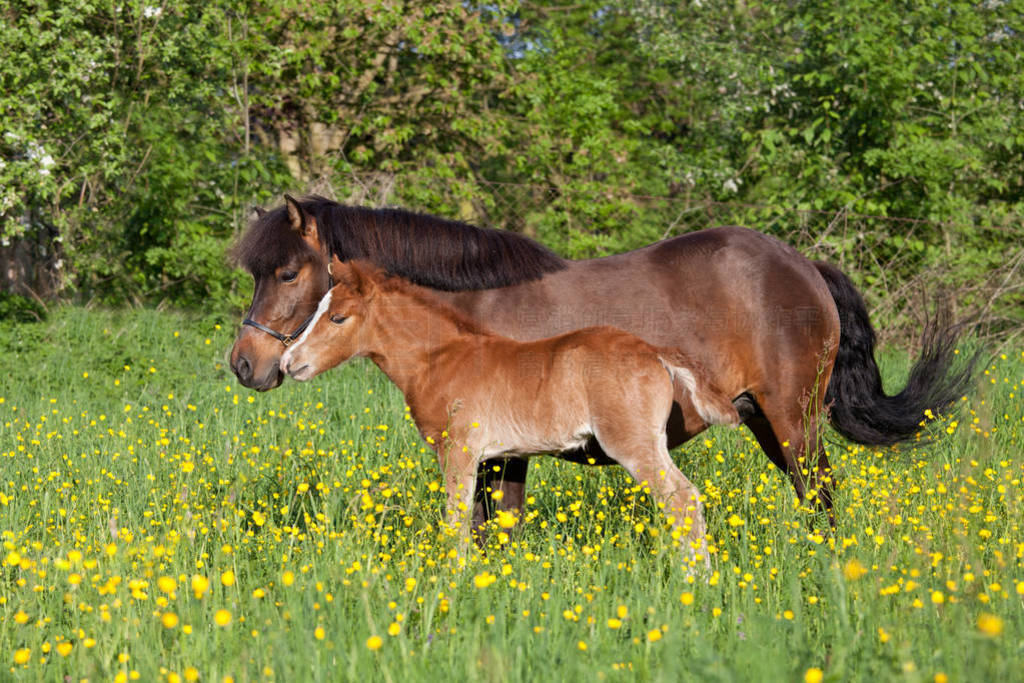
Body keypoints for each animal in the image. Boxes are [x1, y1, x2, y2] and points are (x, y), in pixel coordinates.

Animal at [284, 262, 741, 573]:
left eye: (337, 317)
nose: (290, 362)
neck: (438, 358)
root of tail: (653, 351)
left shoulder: (458, 450)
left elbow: (455, 518)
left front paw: (452, 578)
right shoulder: (493, 458)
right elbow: (482, 518)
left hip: (633, 443)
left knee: (682, 498)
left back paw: (696, 579)